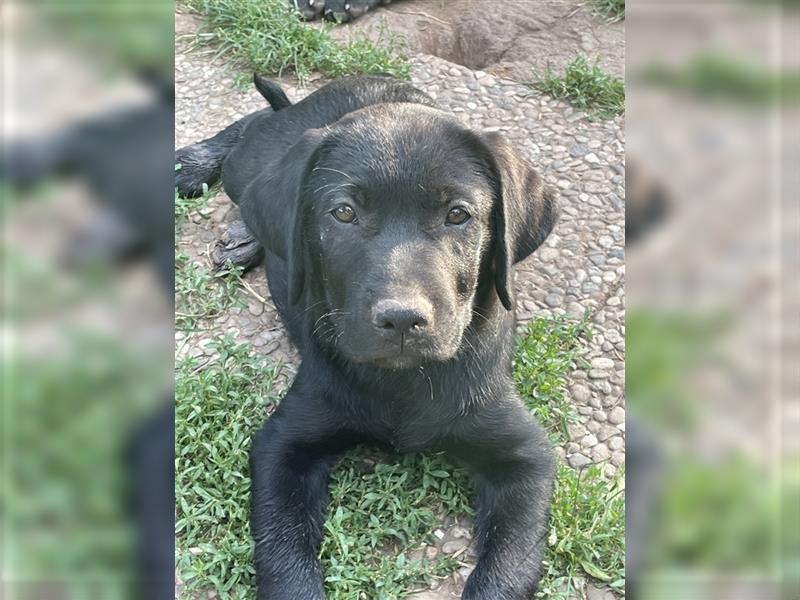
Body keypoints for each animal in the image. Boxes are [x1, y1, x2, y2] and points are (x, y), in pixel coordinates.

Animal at [177, 75, 560, 600]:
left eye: (458, 214)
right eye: (343, 213)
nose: (401, 320)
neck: (404, 382)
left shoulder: (524, 456)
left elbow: (509, 570)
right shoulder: (284, 443)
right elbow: (284, 555)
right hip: (250, 163)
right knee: (253, 131)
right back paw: (196, 168)